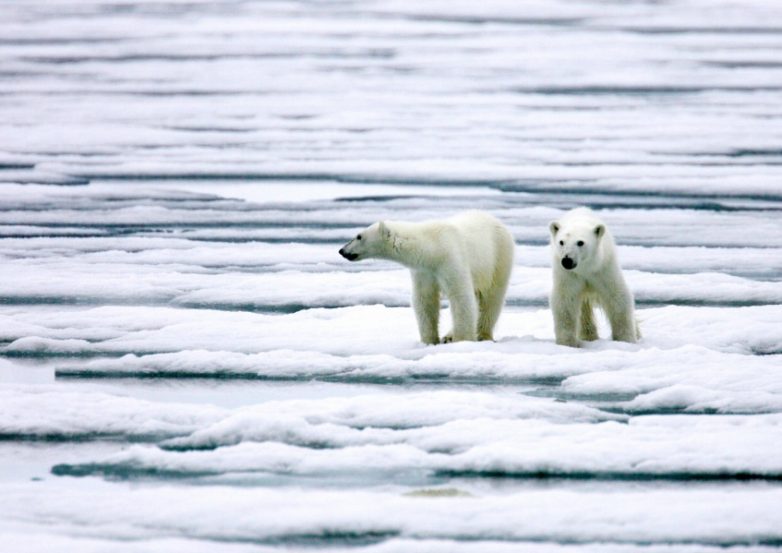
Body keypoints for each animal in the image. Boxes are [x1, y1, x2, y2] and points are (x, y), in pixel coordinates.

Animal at [336, 209, 516, 342]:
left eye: (359, 236)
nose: (342, 250)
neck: (432, 248)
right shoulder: (424, 269)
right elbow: (424, 299)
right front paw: (430, 340)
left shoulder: (451, 258)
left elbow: (460, 296)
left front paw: (462, 340)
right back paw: (448, 336)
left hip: (499, 256)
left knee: (492, 297)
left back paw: (483, 334)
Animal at [548, 207, 640, 344]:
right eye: (561, 242)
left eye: (580, 242)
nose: (567, 260)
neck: (585, 268)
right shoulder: (568, 275)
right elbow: (565, 300)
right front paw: (567, 342)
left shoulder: (603, 269)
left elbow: (617, 296)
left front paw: (625, 339)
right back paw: (589, 336)